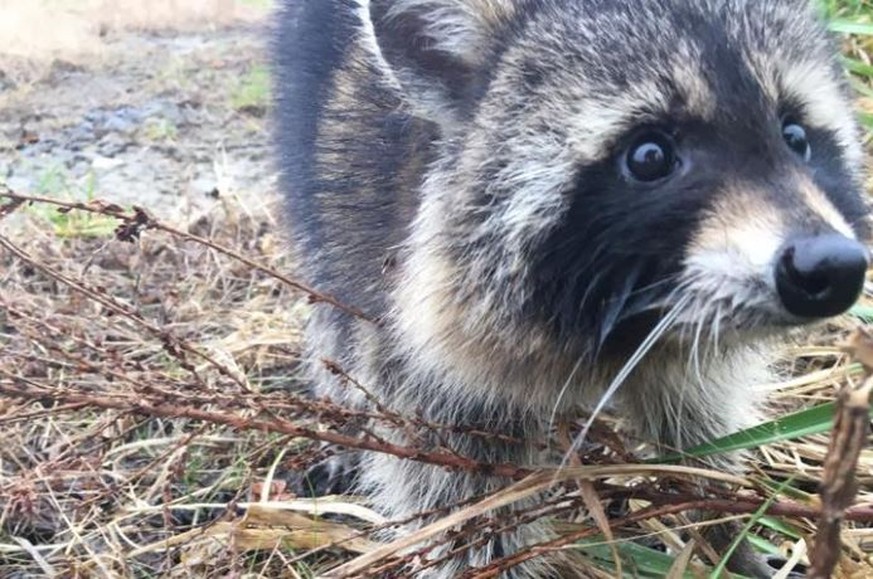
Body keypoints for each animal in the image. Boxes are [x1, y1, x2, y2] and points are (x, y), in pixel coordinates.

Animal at [270, 1, 864, 576]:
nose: (832, 266)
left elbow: (697, 418)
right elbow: (459, 493)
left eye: (796, 137)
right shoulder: (407, 319)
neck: (629, 320)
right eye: (649, 155)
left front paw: (723, 527)